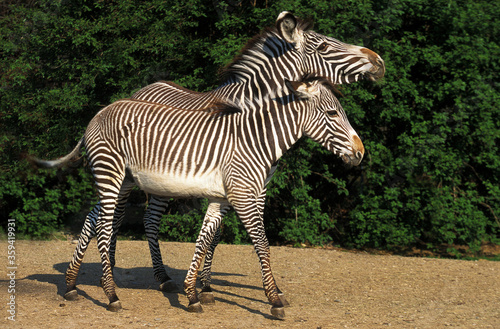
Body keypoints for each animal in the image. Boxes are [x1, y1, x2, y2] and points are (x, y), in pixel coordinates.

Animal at [34, 76, 364, 318]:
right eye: (333, 113)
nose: (361, 153)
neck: (256, 139)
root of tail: (99, 113)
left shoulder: (223, 198)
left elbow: (205, 239)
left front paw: (194, 293)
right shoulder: (244, 196)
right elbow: (262, 245)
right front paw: (273, 300)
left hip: (123, 179)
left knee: (95, 217)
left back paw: (72, 284)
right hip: (111, 174)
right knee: (105, 225)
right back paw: (111, 293)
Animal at [58, 10, 384, 304]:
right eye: (324, 46)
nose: (379, 62)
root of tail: (142, 89)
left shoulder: (255, 187)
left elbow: (218, 235)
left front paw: (207, 286)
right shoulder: (237, 184)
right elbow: (236, 236)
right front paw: (207, 287)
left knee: (106, 215)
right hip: (131, 177)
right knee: (128, 218)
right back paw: (137, 276)